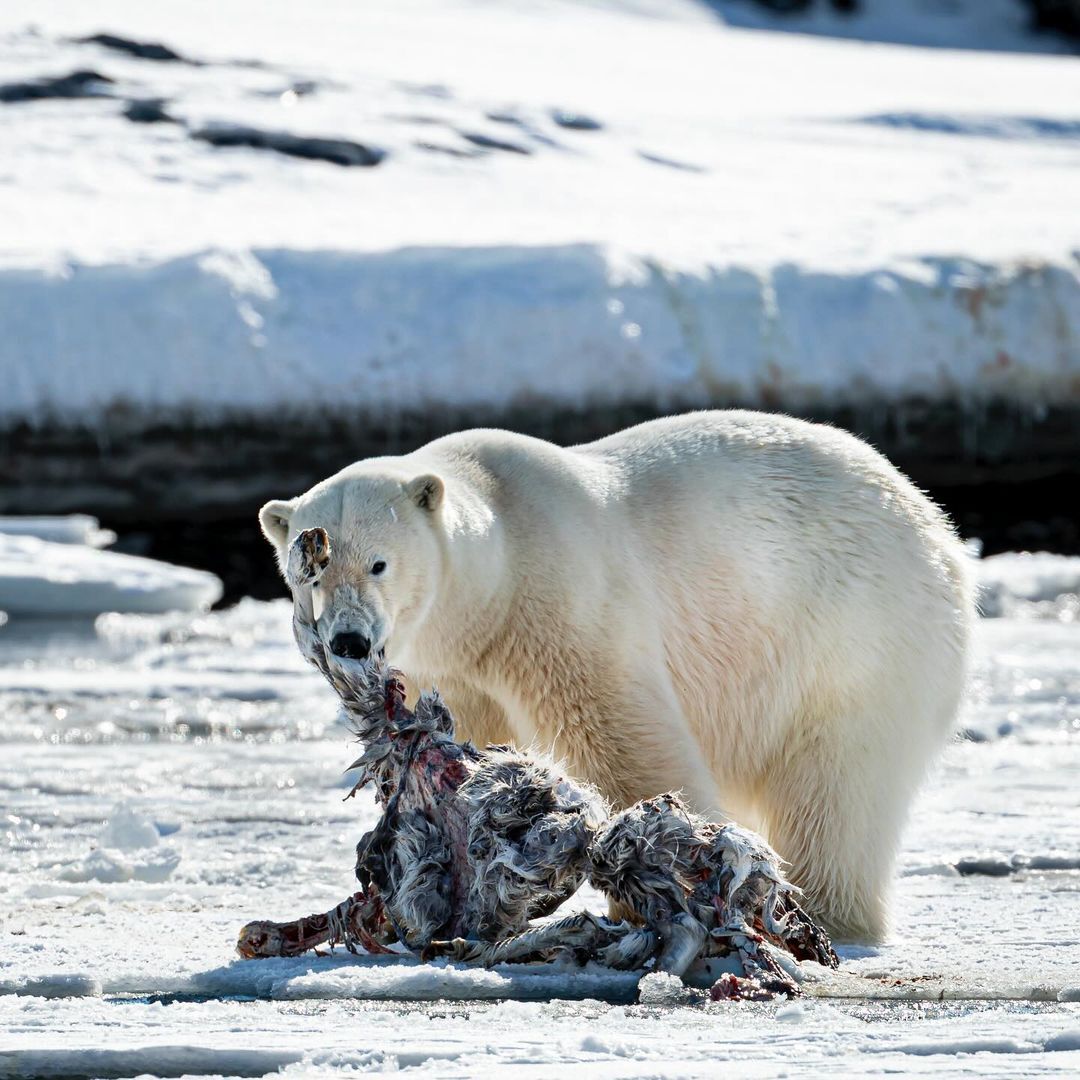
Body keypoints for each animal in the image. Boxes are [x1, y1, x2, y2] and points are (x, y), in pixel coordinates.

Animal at [259, 408, 972, 941]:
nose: (350, 639)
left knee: (839, 785)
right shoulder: (458, 665)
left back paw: (825, 908)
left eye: (378, 563)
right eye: (311, 569)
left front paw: (651, 878)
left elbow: (616, 728)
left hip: (854, 634)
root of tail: (936, 528)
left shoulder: (558, 600)